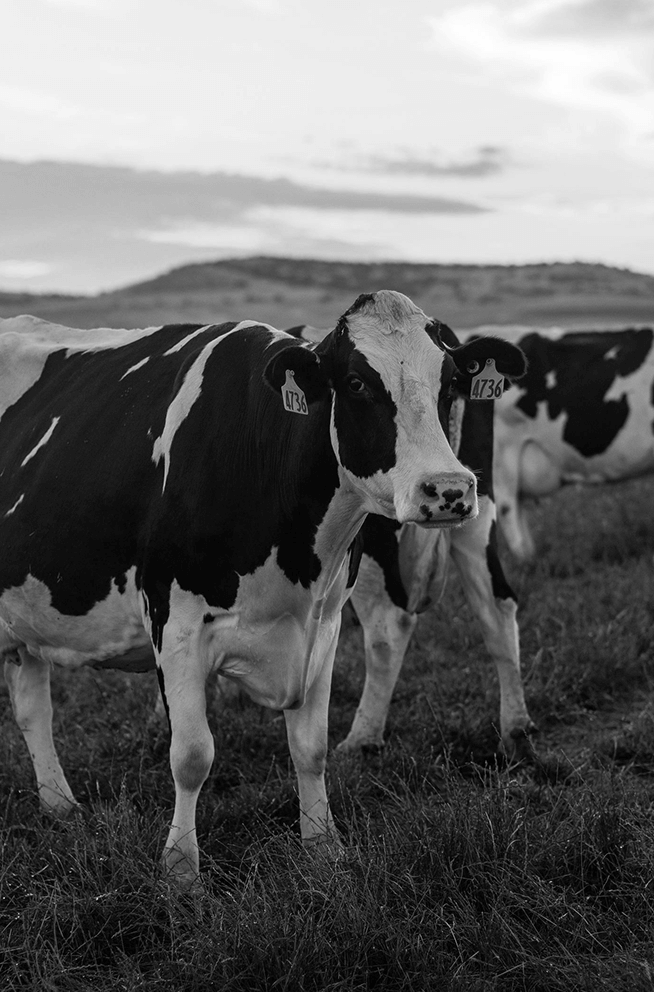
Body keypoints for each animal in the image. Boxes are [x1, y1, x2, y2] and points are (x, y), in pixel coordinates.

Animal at [0, 294, 526, 888]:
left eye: (450, 380)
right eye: (356, 382)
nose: (449, 489)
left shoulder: (323, 623)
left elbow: (311, 747)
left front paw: (324, 847)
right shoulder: (174, 622)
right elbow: (192, 755)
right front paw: (181, 871)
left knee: (31, 705)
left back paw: (61, 807)